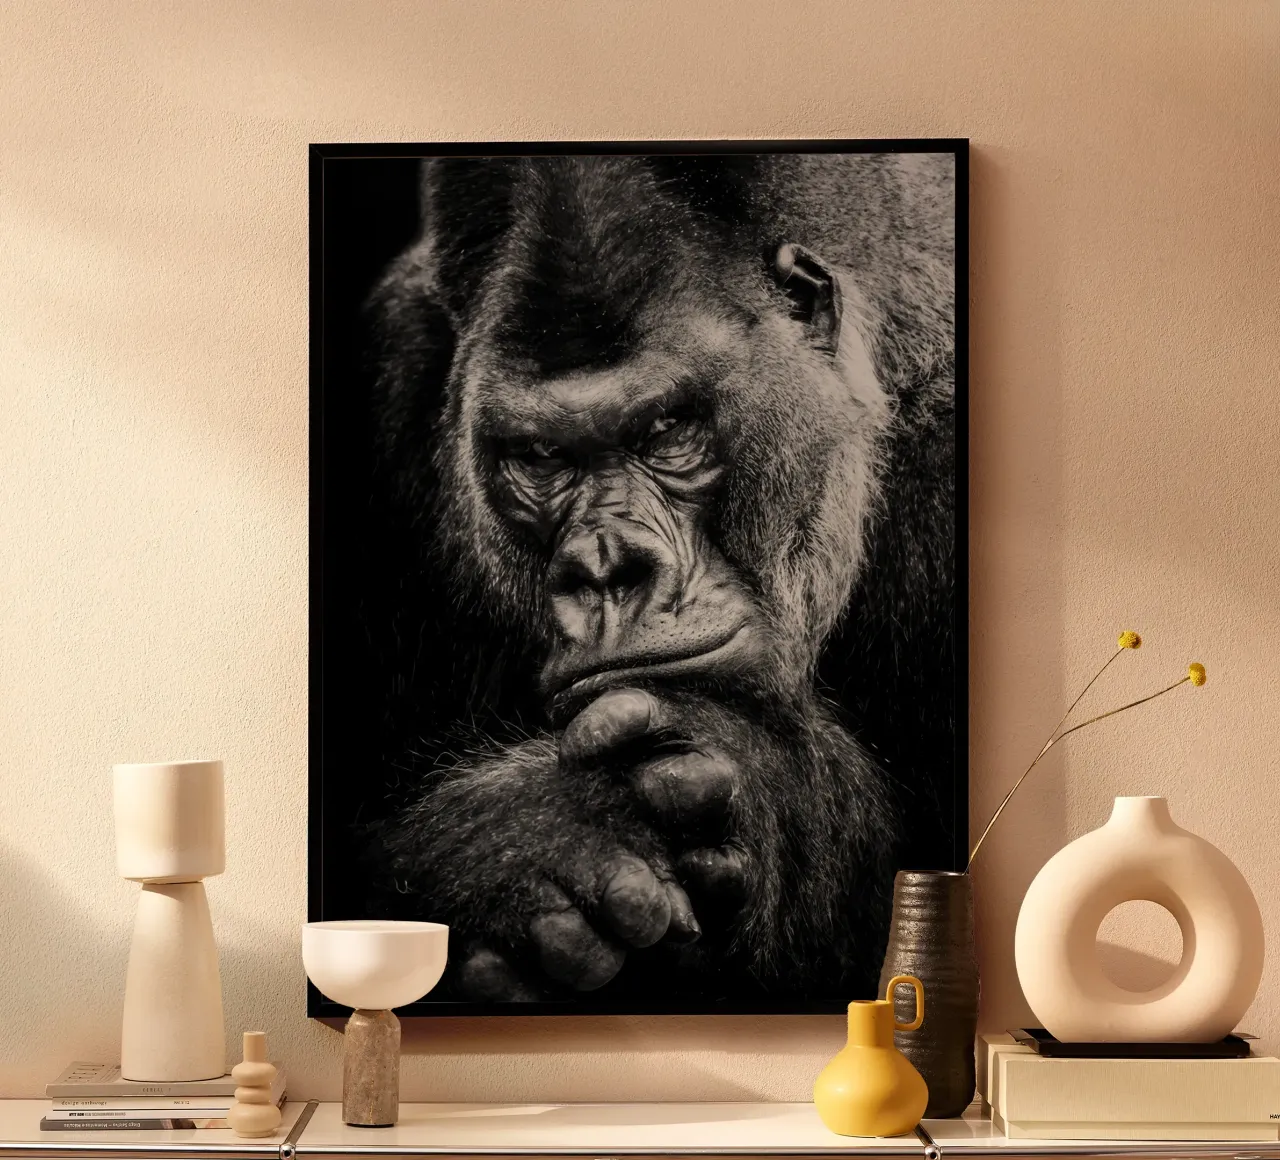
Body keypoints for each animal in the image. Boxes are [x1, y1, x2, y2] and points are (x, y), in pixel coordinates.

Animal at [352, 152, 957, 1004]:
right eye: (541, 456)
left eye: (667, 429)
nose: (607, 567)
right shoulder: (396, 370)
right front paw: (521, 845)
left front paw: (759, 785)